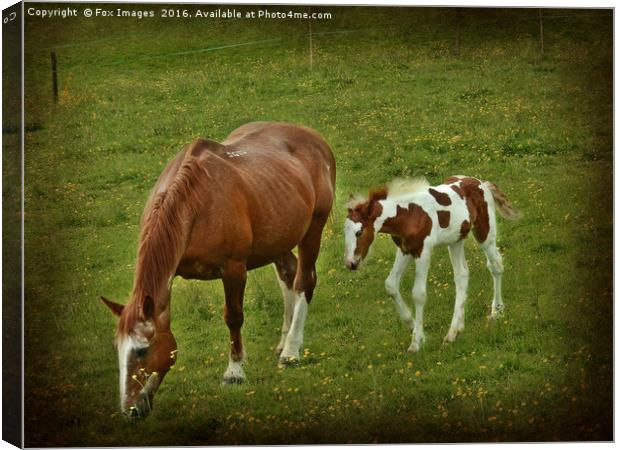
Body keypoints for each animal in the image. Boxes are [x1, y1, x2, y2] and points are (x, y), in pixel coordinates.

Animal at [102, 122, 336, 418]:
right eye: (117, 349)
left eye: (142, 351)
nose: (129, 409)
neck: (195, 204)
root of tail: (315, 138)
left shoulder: (233, 268)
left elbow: (233, 317)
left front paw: (234, 372)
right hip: (278, 237)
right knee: (289, 275)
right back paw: (284, 341)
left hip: (312, 230)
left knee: (304, 281)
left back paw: (291, 351)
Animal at [346, 175, 520, 352]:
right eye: (344, 231)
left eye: (359, 232)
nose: (351, 263)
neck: (409, 214)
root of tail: (481, 183)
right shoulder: (405, 250)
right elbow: (391, 285)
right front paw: (413, 326)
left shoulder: (423, 251)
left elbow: (419, 294)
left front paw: (416, 342)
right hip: (456, 240)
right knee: (462, 274)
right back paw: (454, 332)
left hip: (485, 231)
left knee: (495, 265)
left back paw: (497, 311)